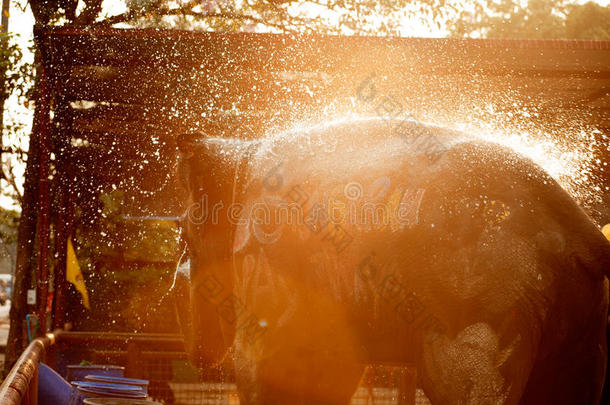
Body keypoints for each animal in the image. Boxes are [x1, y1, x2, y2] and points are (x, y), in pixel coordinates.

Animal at [170, 116, 608, 400]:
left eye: (186, 239)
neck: (243, 152)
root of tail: (582, 229)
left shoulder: (275, 258)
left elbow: (277, 371)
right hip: (578, 315)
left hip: (485, 297)